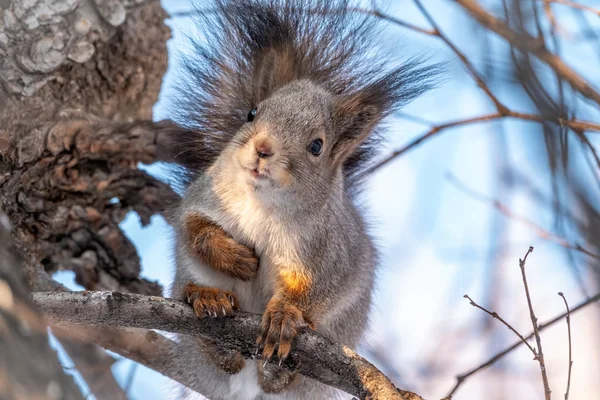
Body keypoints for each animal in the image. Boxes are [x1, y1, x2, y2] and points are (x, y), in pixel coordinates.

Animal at [161, 0, 440, 400]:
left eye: (317, 146)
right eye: (252, 112)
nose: (263, 148)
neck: (262, 202)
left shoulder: (330, 254)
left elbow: (316, 290)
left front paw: (284, 317)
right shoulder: (202, 197)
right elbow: (192, 229)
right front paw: (235, 258)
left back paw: (276, 373)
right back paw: (208, 303)